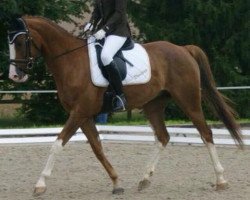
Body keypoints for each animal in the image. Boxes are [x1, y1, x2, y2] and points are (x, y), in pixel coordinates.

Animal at [7, 16, 242, 195]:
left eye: (20, 43)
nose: (15, 76)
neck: (71, 62)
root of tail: (183, 49)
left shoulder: (79, 113)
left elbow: (57, 144)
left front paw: (40, 184)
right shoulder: (84, 115)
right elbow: (97, 148)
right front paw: (117, 183)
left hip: (188, 100)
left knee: (206, 133)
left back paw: (221, 180)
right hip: (153, 105)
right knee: (163, 137)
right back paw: (144, 179)